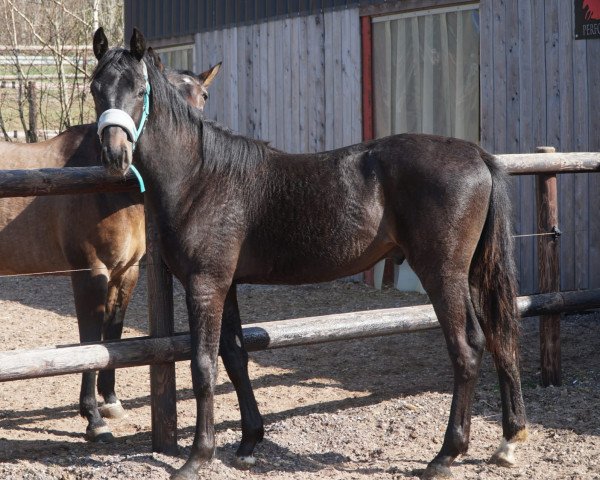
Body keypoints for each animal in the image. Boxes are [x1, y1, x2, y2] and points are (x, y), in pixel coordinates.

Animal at [0, 42, 220, 442]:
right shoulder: (90, 273)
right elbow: (89, 341)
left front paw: (111, 402)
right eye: (95, 89)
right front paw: (93, 418)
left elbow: (113, 337)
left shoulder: (127, 272)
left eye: (204, 95)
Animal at [91, 30, 528, 480]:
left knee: (467, 348)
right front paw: (248, 443)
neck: (201, 177)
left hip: (443, 275)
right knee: (497, 337)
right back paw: (508, 439)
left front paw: (197, 457)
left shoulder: (205, 284)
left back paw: (446, 454)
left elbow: (203, 366)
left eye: (140, 90)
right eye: (95, 88)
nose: (114, 155)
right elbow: (235, 355)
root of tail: (476, 155)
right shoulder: (227, 285)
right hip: (471, 272)